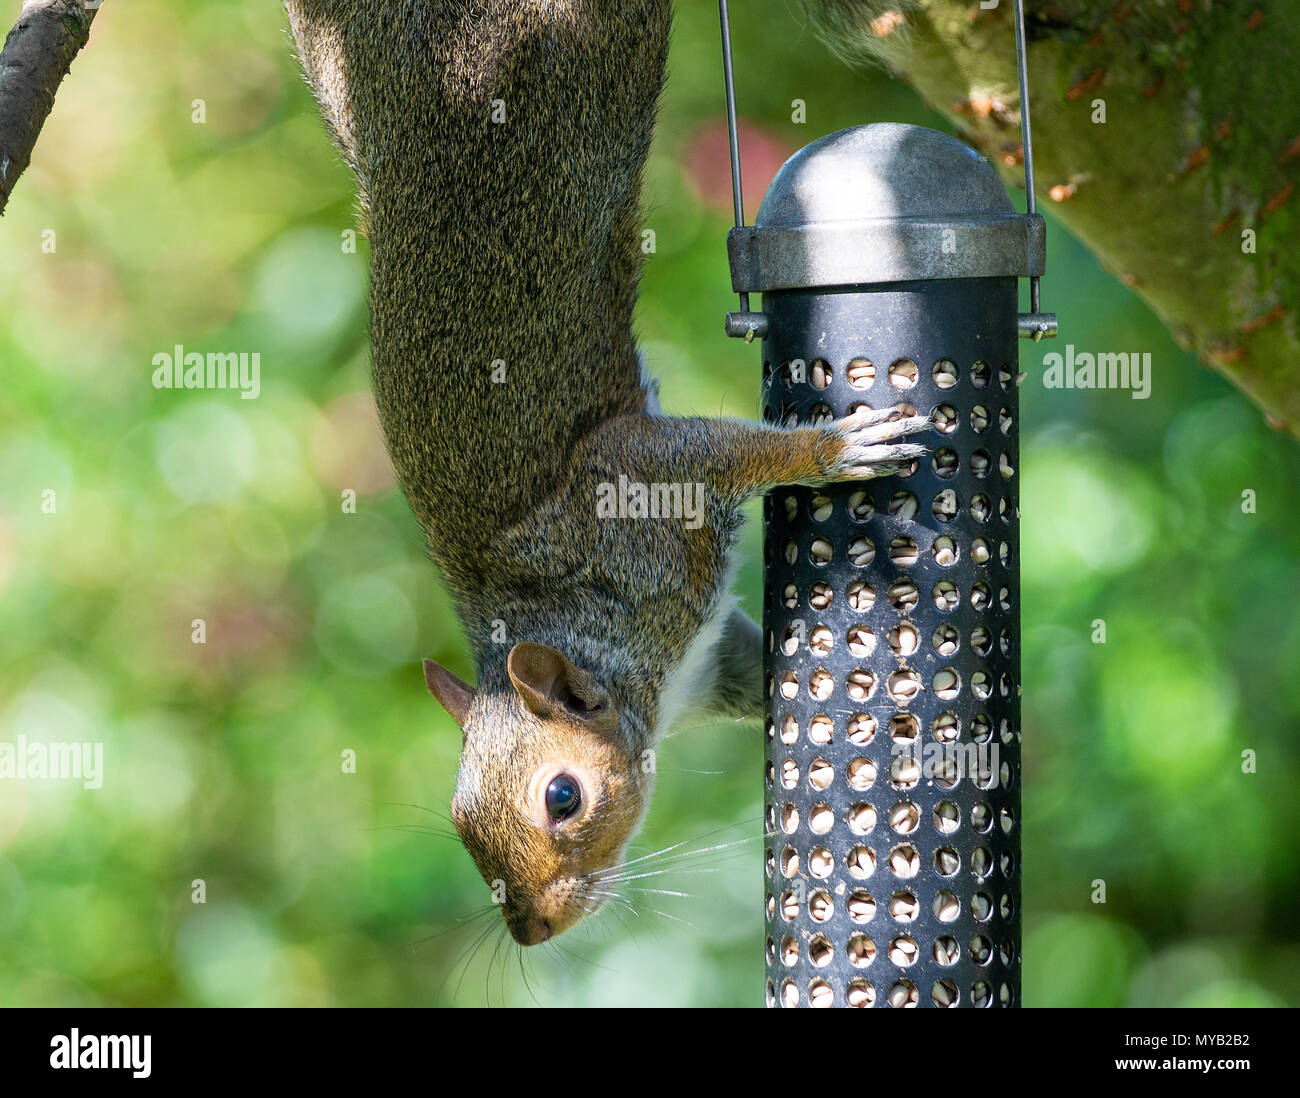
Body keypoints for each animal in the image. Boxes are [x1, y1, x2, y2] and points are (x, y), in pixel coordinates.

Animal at [284, 0, 930, 946]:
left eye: (563, 797)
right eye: (459, 823)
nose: (531, 931)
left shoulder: (638, 483)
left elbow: (730, 450)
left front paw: (836, 451)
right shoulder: (709, 661)